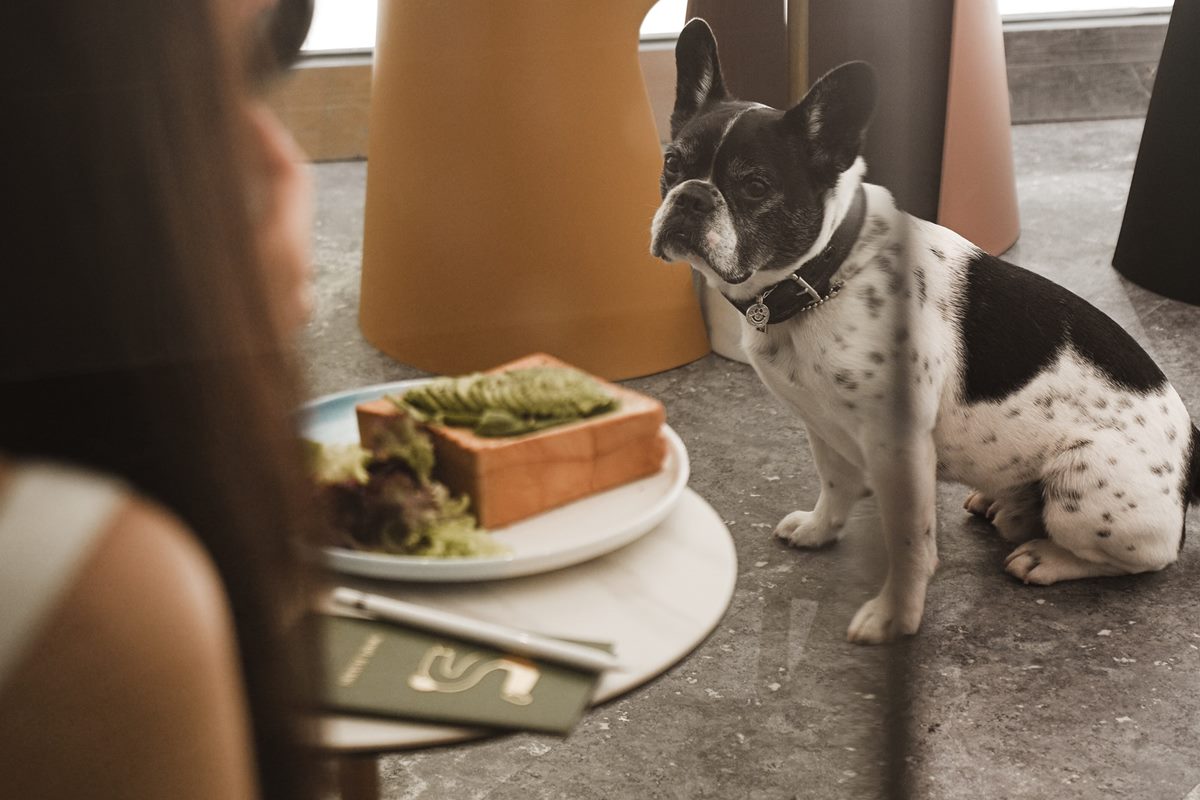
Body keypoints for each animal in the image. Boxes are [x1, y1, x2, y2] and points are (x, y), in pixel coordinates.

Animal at [657, 18, 1200, 642]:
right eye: (671, 163)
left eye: (754, 186)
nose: (691, 197)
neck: (825, 274)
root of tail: (1192, 454)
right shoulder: (822, 426)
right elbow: (835, 483)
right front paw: (820, 529)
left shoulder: (902, 451)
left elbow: (911, 542)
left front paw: (895, 616)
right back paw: (1006, 506)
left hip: (1083, 489)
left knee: (1150, 555)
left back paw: (1046, 557)